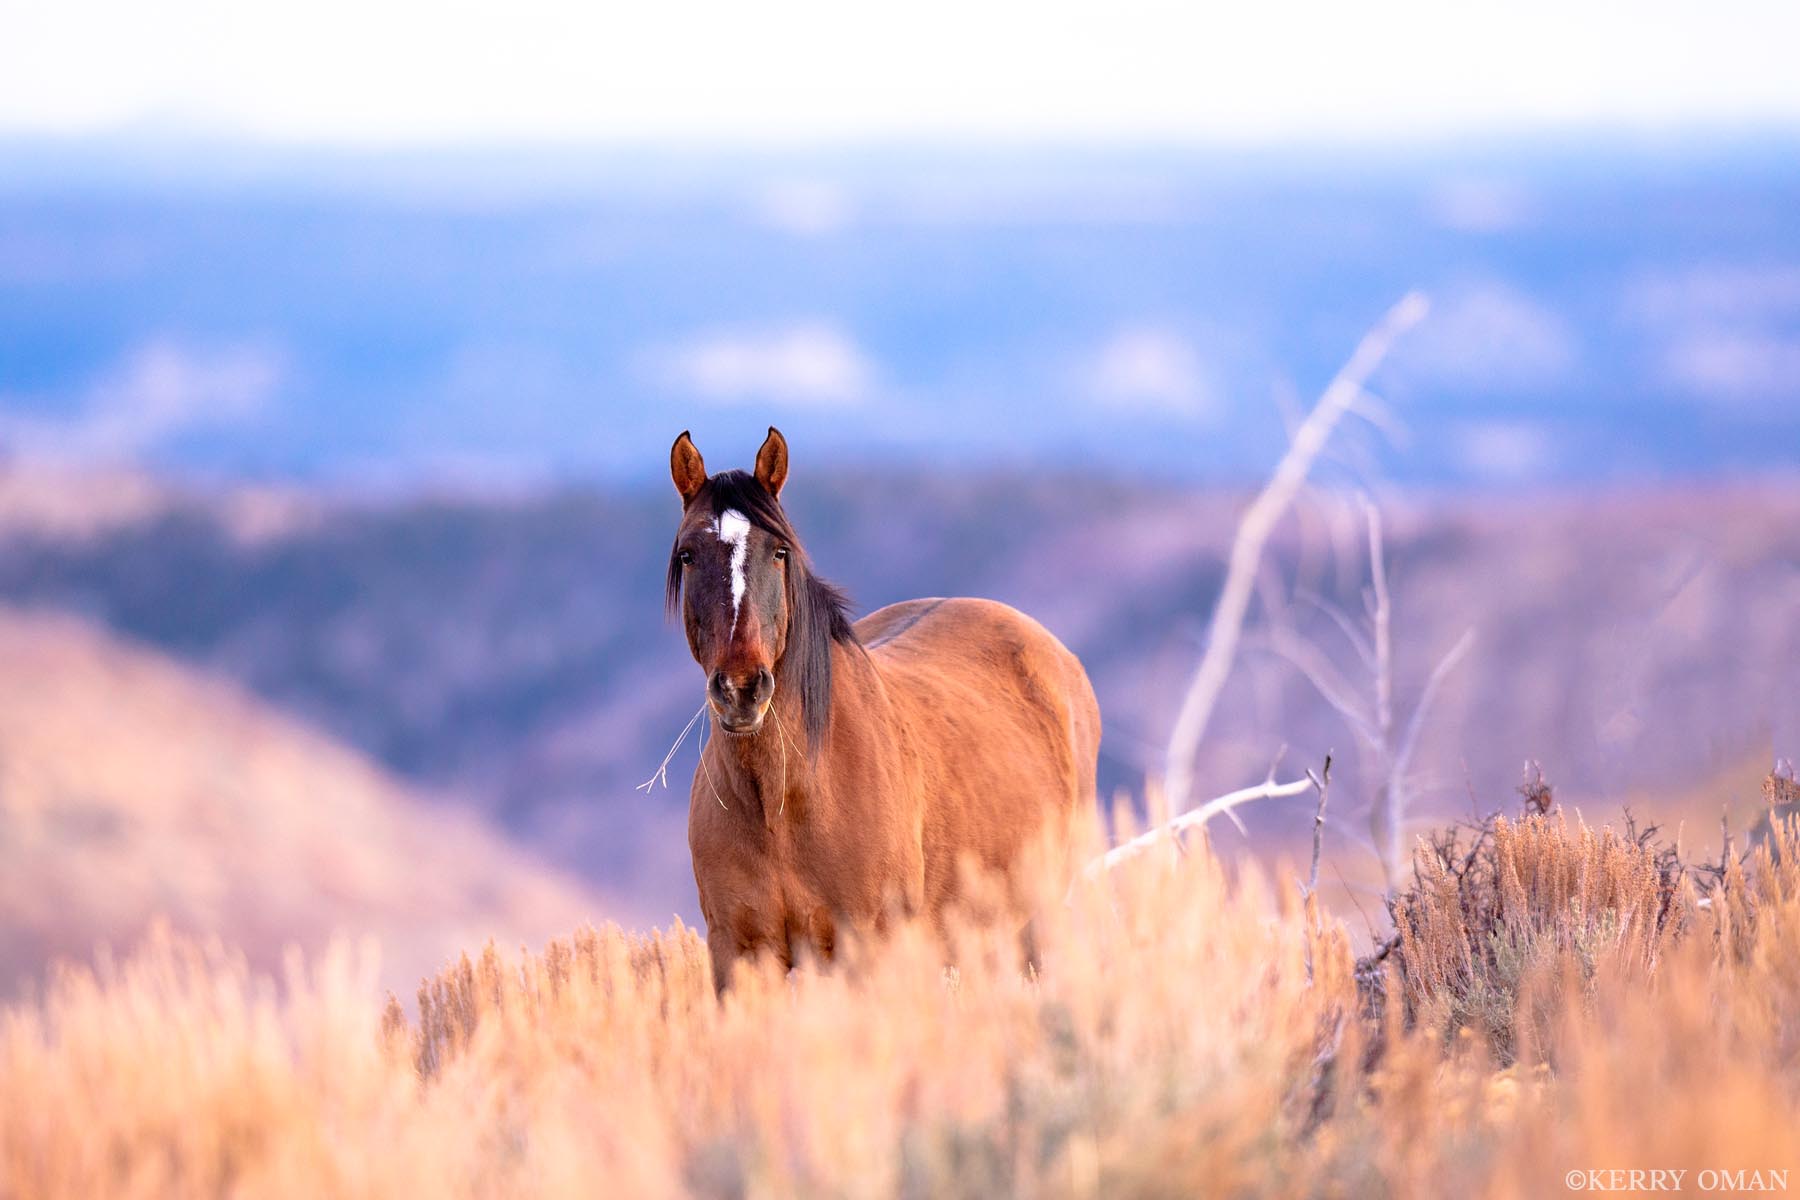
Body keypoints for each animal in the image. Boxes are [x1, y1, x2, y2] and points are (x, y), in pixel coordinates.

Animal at [665, 426, 1101, 992]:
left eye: (779, 551)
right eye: (689, 554)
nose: (741, 689)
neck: (786, 800)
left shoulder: (867, 950)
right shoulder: (739, 957)